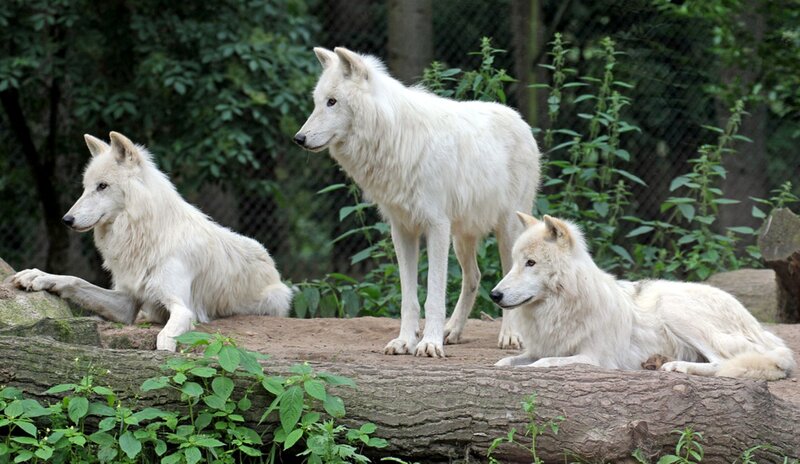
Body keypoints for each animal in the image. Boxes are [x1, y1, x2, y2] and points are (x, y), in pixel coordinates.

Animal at [8, 132, 292, 351]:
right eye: (85, 187)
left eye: (103, 186)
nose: (67, 219)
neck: (144, 236)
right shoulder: (127, 302)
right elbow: (75, 280)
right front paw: (37, 276)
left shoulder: (182, 307)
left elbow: (166, 336)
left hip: (275, 299)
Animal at [294, 47, 541, 357]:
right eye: (317, 103)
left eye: (332, 102)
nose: (299, 138)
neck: (393, 138)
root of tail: (519, 118)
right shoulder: (402, 230)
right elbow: (408, 298)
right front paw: (405, 341)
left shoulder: (436, 227)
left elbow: (433, 295)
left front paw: (429, 343)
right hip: (462, 238)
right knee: (474, 278)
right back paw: (452, 331)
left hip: (507, 231)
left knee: (507, 278)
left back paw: (509, 335)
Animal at [490, 212, 795, 380]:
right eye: (514, 262)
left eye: (530, 263)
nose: (495, 294)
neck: (561, 307)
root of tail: (761, 329)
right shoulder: (541, 348)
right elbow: (503, 362)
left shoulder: (596, 358)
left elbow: (542, 363)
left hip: (674, 308)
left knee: (724, 361)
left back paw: (676, 366)